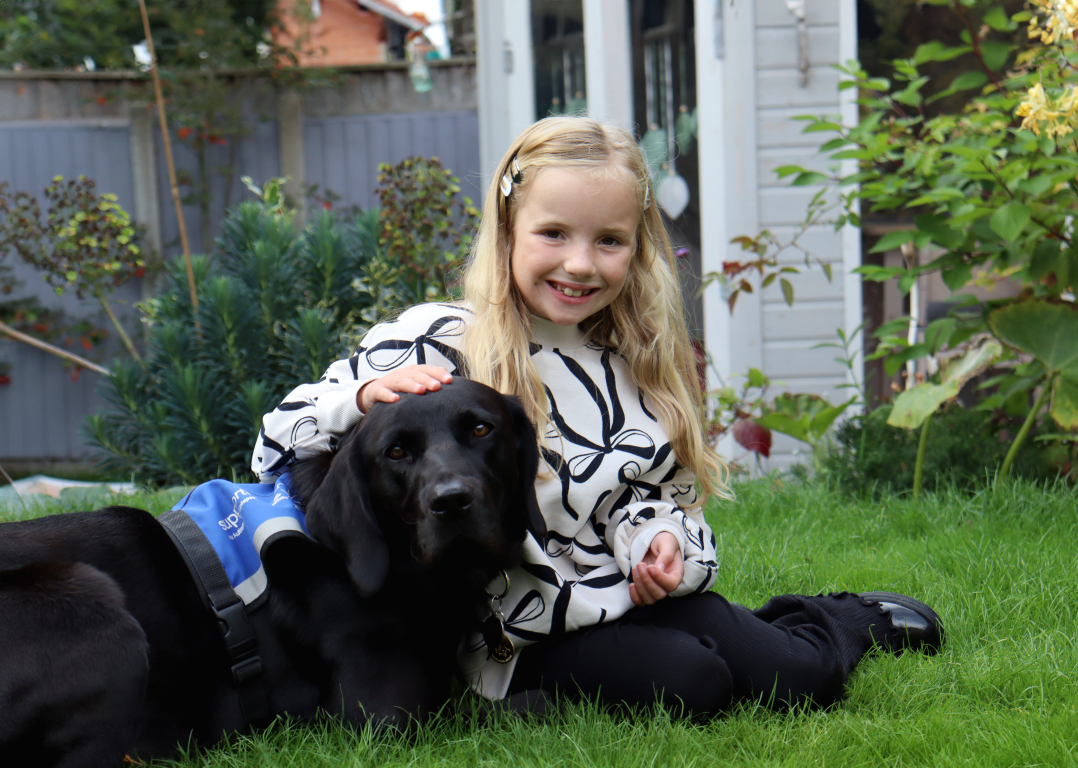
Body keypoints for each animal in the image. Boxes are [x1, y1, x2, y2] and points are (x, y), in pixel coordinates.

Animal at [0, 379, 545, 767]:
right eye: (396, 452)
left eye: (481, 430)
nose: (450, 501)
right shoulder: (381, 718)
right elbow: (527, 701)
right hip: (98, 610)